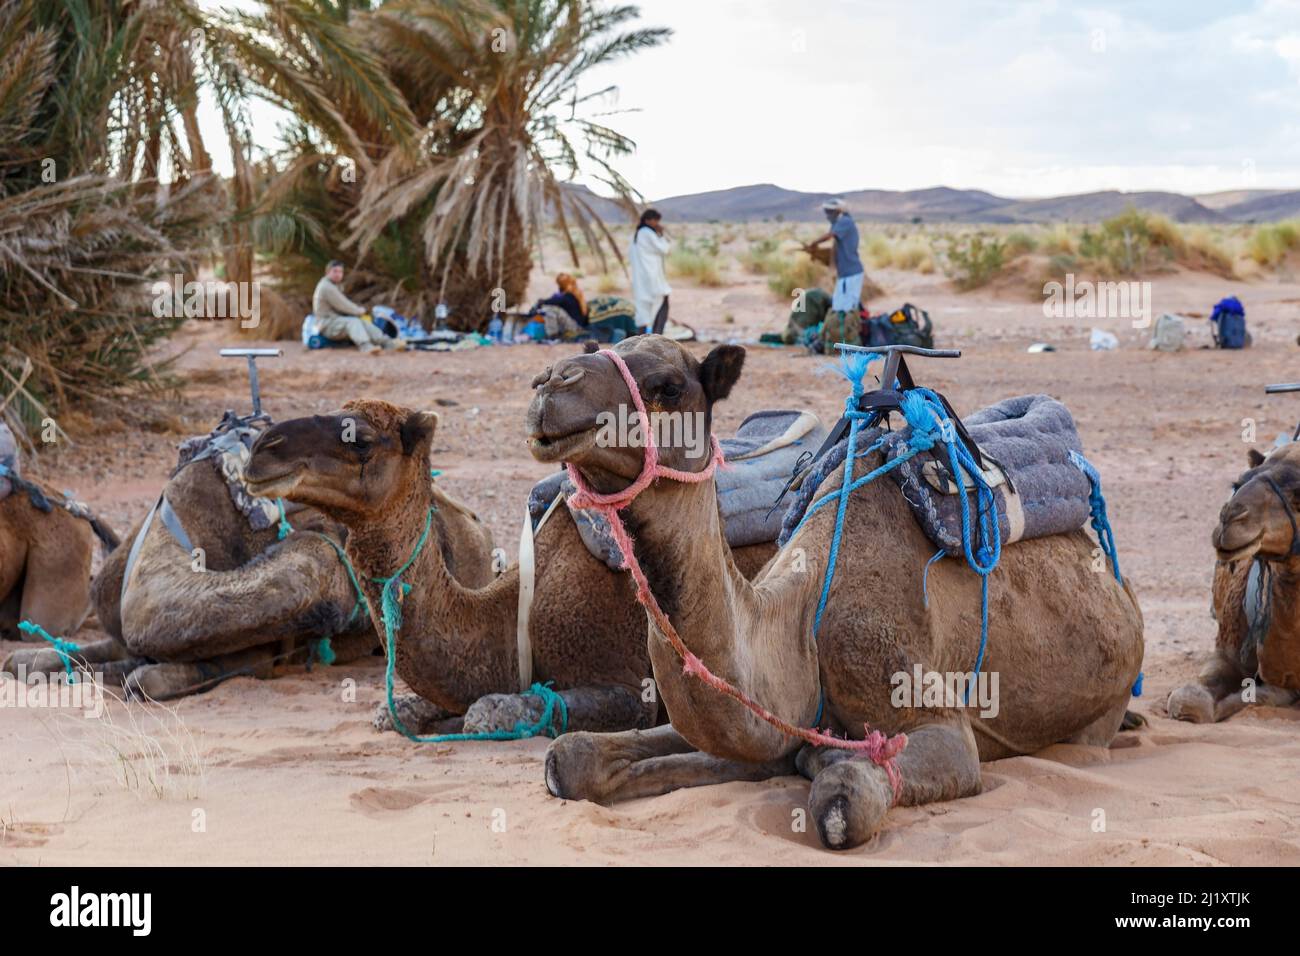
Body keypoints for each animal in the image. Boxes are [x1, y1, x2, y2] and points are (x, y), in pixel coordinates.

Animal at [526, 335, 1144, 850]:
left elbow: (840, 800)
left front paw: (820, 764)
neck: (799, 624)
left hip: (1102, 708)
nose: (552, 381)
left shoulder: (931, 718)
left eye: (668, 386)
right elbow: (570, 758)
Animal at [1168, 444, 1300, 722]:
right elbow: (1189, 699)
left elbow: (1268, 694)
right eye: (1240, 481)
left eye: (1299, 493)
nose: (1229, 516)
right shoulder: (1227, 651)